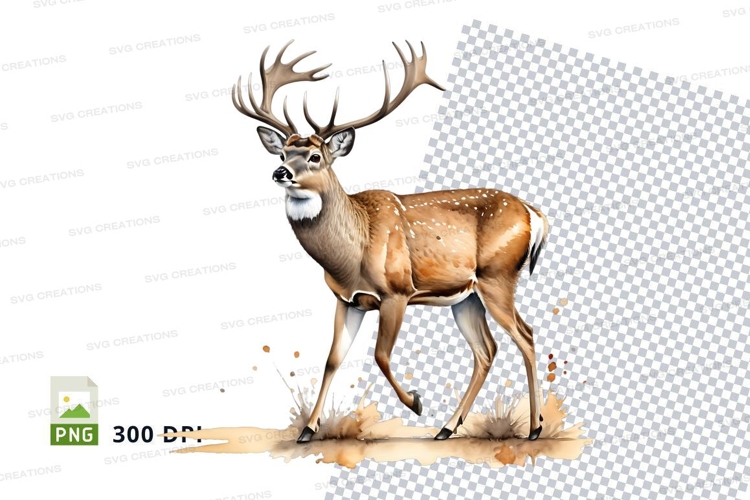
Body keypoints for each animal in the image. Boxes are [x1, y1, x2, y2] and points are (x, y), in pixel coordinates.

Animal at [231, 40, 549, 443]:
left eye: (316, 156)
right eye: (284, 152)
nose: (280, 171)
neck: (351, 254)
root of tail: (533, 213)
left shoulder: (397, 291)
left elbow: (380, 355)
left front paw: (416, 401)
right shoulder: (347, 300)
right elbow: (332, 359)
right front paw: (307, 429)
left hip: (499, 276)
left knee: (525, 334)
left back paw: (535, 427)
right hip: (467, 296)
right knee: (486, 349)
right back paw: (447, 428)